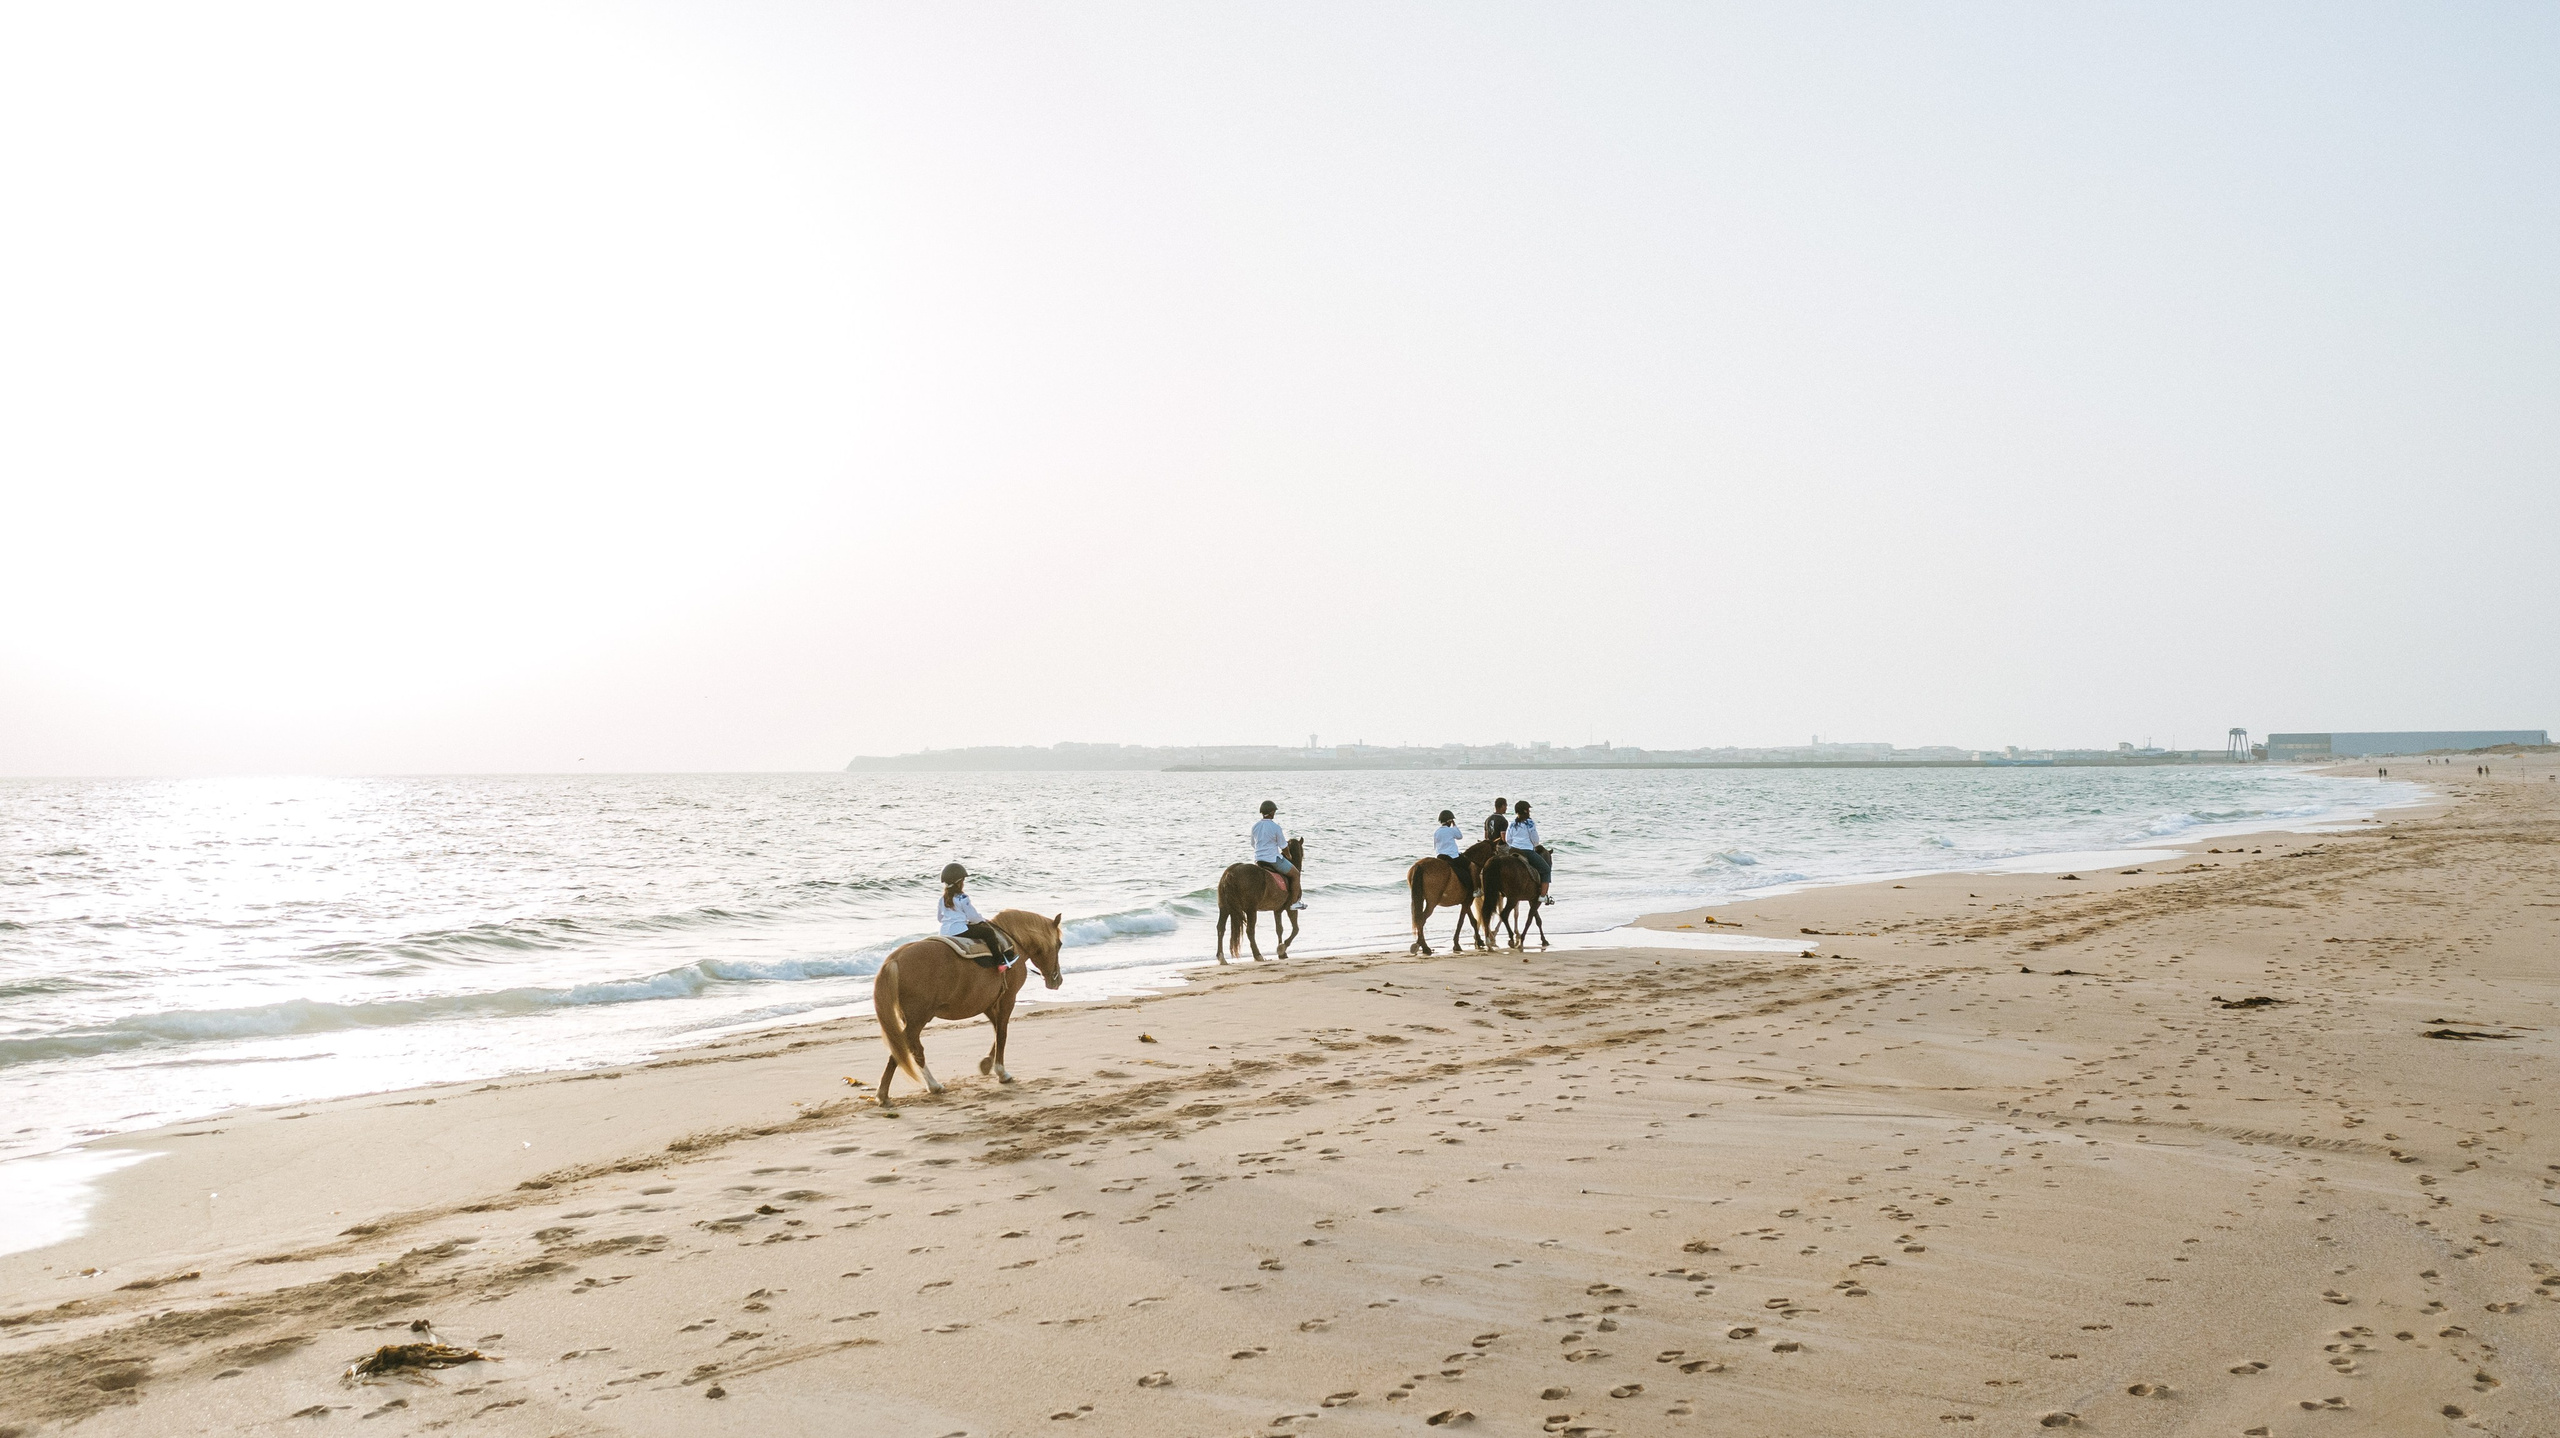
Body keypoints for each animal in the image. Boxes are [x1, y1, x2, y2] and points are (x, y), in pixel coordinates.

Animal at [871, 909, 1064, 1110]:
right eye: (1059, 944)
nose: (1057, 979)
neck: (1012, 943)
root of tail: (895, 959)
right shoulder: (1007, 999)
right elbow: (1002, 1033)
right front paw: (1001, 1071)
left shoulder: (987, 1002)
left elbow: (997, 1029)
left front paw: (987, 1063)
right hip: (918, 1018)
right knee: (904, 1048)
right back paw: (887, 1093)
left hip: (912, 1019)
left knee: (912, 1048)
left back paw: (929, 1086)